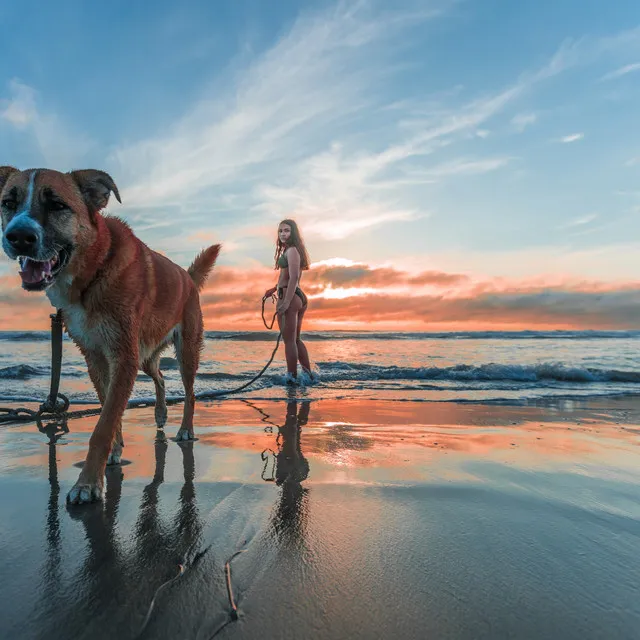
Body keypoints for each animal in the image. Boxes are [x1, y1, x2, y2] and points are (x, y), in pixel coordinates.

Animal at [0, 166, 220, 504]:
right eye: (8, 204)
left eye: (57, 205)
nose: (18, 237)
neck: (94, 271)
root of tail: (187, 277)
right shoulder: (96, 358)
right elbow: (109, 410)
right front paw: (114, 453)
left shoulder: (122, 356)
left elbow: (102, 426)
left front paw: (88, 483)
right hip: (145, 355)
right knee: (160, 377)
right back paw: (159, 414)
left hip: (184, 352)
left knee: (190, 392)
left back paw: (185, 429)